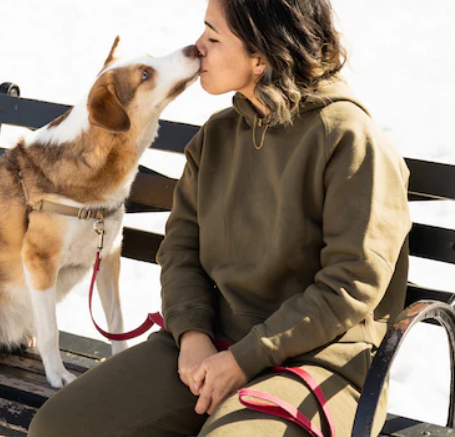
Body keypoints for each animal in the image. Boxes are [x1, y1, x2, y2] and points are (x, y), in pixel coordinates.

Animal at [0, 36, 201, 384]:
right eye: (145, 74)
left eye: (150, 57)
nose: (195, 48)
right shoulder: (39, 260)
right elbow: (51, 329)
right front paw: (57, 375)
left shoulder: (108, 253)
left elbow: (116, 322)